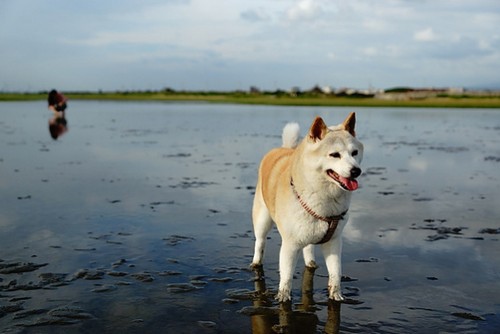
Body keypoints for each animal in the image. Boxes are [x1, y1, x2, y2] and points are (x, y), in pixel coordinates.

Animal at [250, 113, 364, 302]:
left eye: (354, 153)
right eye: (334, 154)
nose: (356, 171)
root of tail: (284, 148)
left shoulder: (334, 241)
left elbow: (336, 273)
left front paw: (336, 295)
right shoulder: (290, 244)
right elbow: (286, 277)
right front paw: (283, 298)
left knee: (308, 247)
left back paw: (311, 263)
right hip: (262, 219)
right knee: (260, 242)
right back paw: (256, 263)